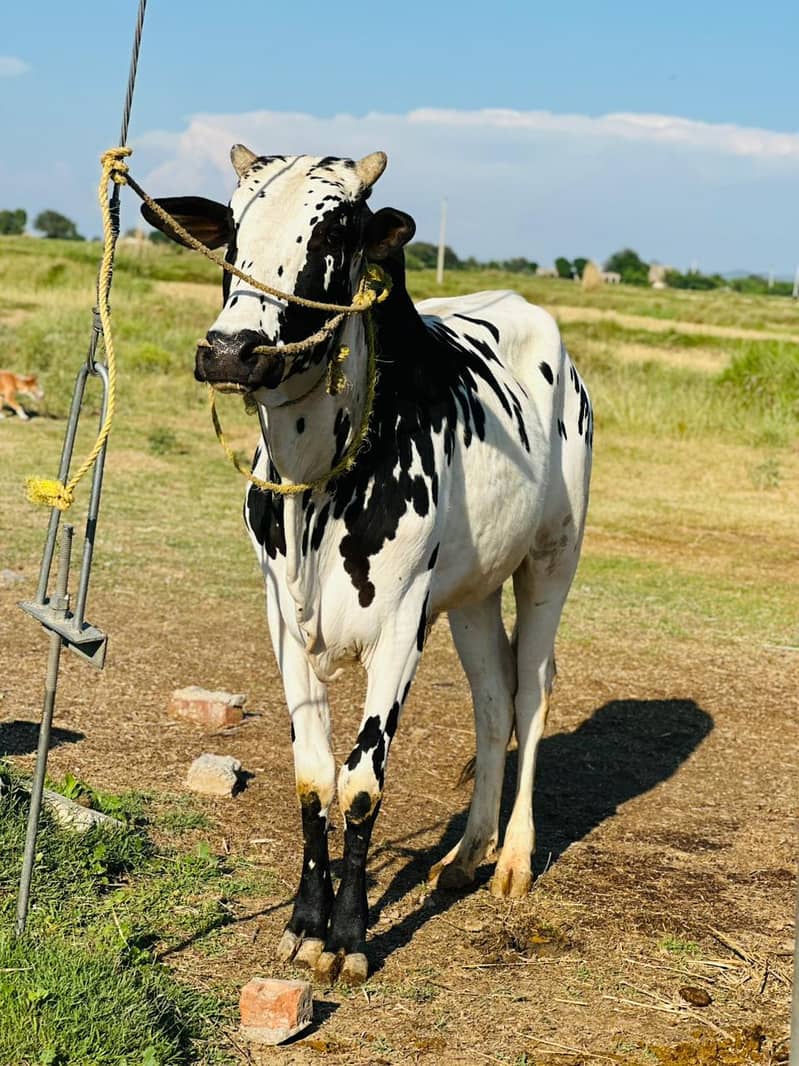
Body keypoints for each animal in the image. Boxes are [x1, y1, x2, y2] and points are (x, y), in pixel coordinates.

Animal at [142, 147, 592, 985]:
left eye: (336, 233)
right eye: (233, 229)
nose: (230, 352)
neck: (319, 481)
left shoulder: (401, 623)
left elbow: (359, 783)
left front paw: (350, 937)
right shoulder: (283, 623)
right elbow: (313, 774)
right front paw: (303, 923)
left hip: (551, 560)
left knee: (532, 690)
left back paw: (512, 858)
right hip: (473, 592)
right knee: (492, 700)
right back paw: (465, 852)